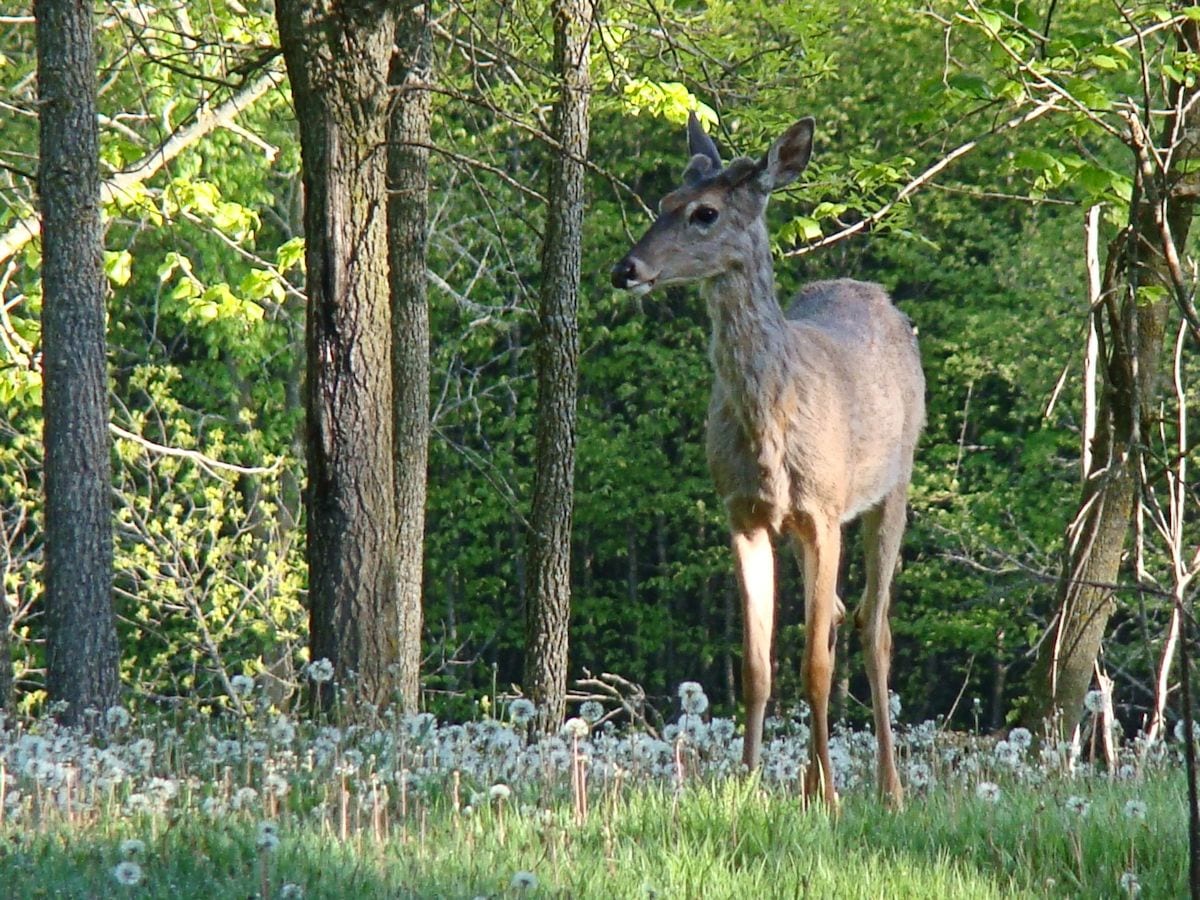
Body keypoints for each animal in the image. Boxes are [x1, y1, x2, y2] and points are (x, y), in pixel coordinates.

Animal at [614, 114, 921, 811]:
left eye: (704, 212)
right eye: (663, 201)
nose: (626, 268)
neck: (772, 422)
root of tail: (876, 294)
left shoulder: (825, 511)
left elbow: (816, 666)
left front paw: (828, 800)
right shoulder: (744, 514)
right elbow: (756, 665)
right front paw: (750, 785)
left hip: (895, 485)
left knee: (874, 628)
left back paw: (888, 788)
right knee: (838, 619)